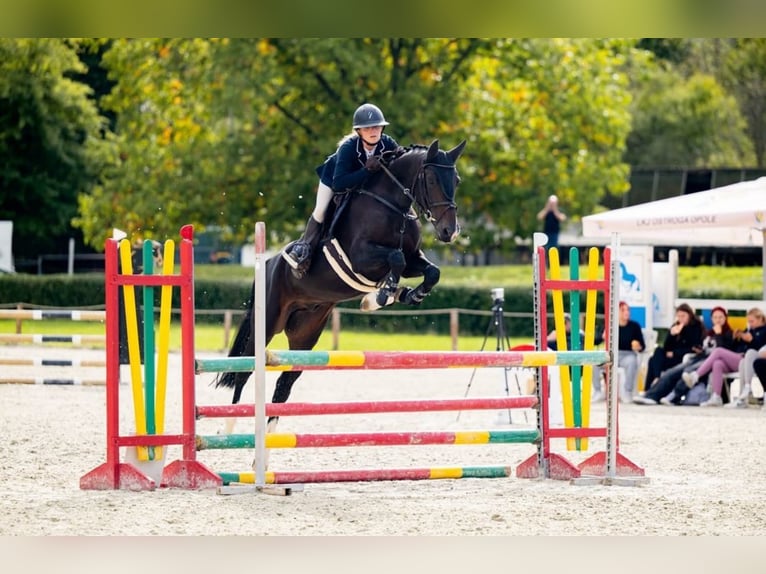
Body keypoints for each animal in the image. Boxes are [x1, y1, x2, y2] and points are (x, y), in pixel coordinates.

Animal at [216, 140, 468, 418]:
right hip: (268, 322)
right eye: (432, 179)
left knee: (284, 383)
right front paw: (382, 296)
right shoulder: (361, 257)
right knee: (244, 370)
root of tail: (267, 265)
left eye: (456, 180)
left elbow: (431, 270)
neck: (393, 206)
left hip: (306, 333)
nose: (449, 232)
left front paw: (407, 294)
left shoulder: (413, 259)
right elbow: (396, 258)